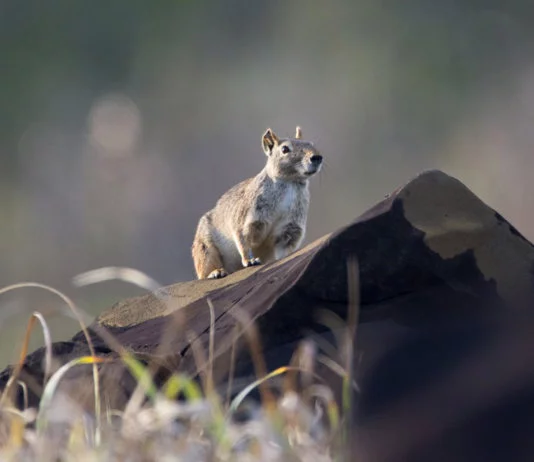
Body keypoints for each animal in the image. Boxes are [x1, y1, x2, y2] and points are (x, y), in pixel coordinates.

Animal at [194, 124, 324, 280]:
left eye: (311, 143)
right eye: (285, 149)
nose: (316, 157)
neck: (290, 183)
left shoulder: (289, 229)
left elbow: (283, 250)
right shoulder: (247, 219)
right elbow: (243, 241)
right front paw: (249, 260)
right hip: (205, 248)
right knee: (204, 271)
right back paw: (216, 272)